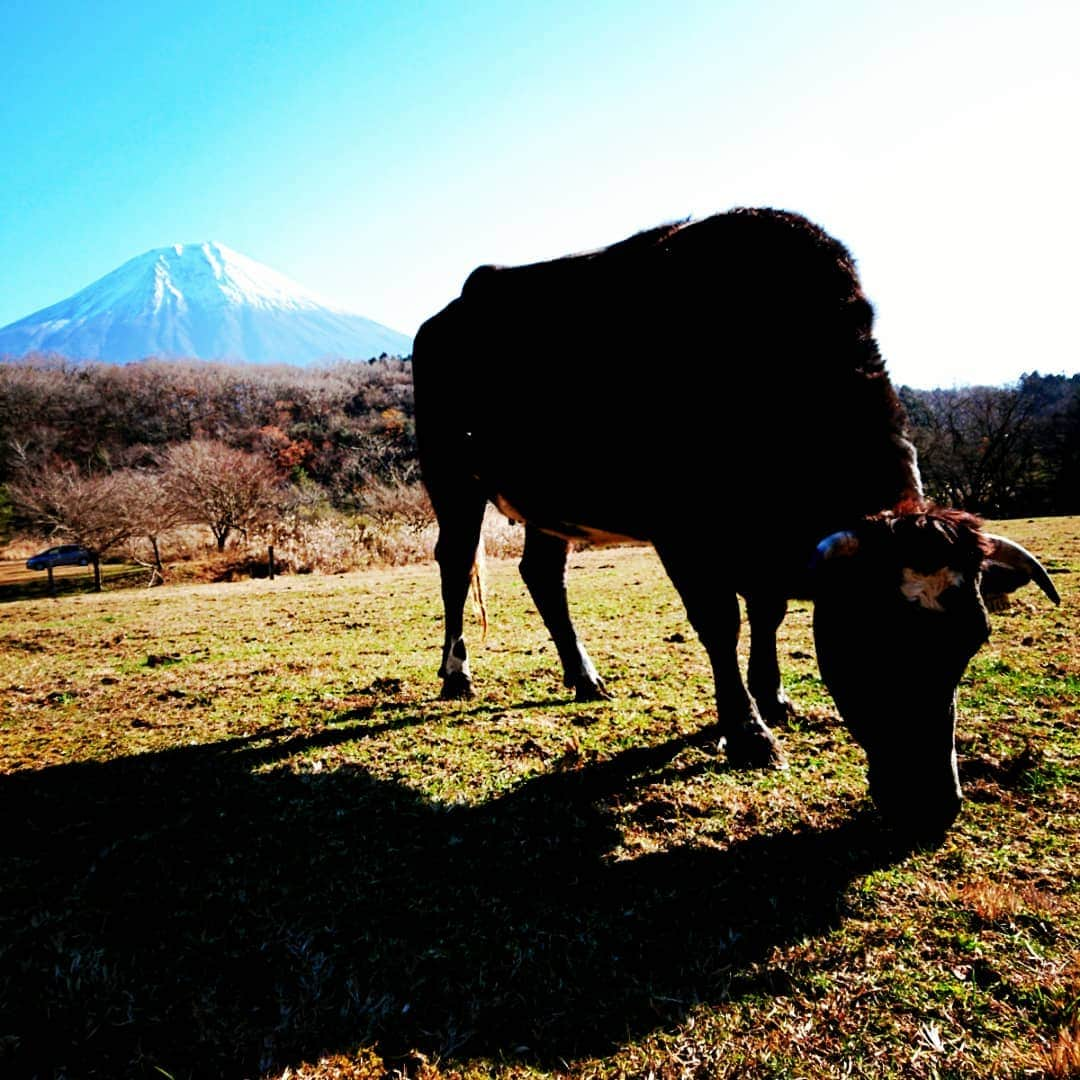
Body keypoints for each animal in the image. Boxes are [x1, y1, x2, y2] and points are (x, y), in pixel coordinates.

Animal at [414, 206, 1062, 838]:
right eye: (868, 633)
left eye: (972, 640)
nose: (934, 807)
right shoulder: (684, 534)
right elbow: (720, 623)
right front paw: (749, 733)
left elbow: (767, 613)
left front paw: (772, 696)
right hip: (451, 476)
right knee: (455, 564)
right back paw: (457, 675)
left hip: (550, 504)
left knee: (543, 574)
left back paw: (583, 677)